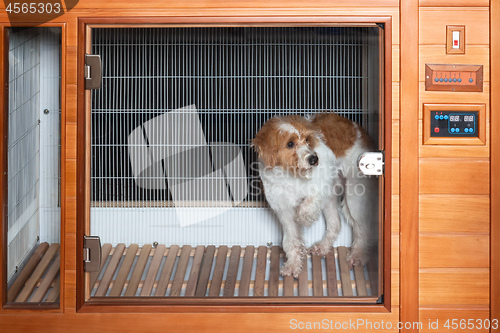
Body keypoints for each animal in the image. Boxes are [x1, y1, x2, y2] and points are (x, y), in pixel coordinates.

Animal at [252, 113, 376, 276]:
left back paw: (358, 255)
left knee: (363, 227)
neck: (290, 175)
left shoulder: (324, 181)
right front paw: (292, 264)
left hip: (354, 197)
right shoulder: (284, 211)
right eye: (290, 144)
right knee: (335, 223)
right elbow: (290, 241)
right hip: (331, 200)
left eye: (307, 140)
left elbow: (310, 200)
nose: (314, 159)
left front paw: (304, 216)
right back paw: (323, 246)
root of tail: (358, 129)